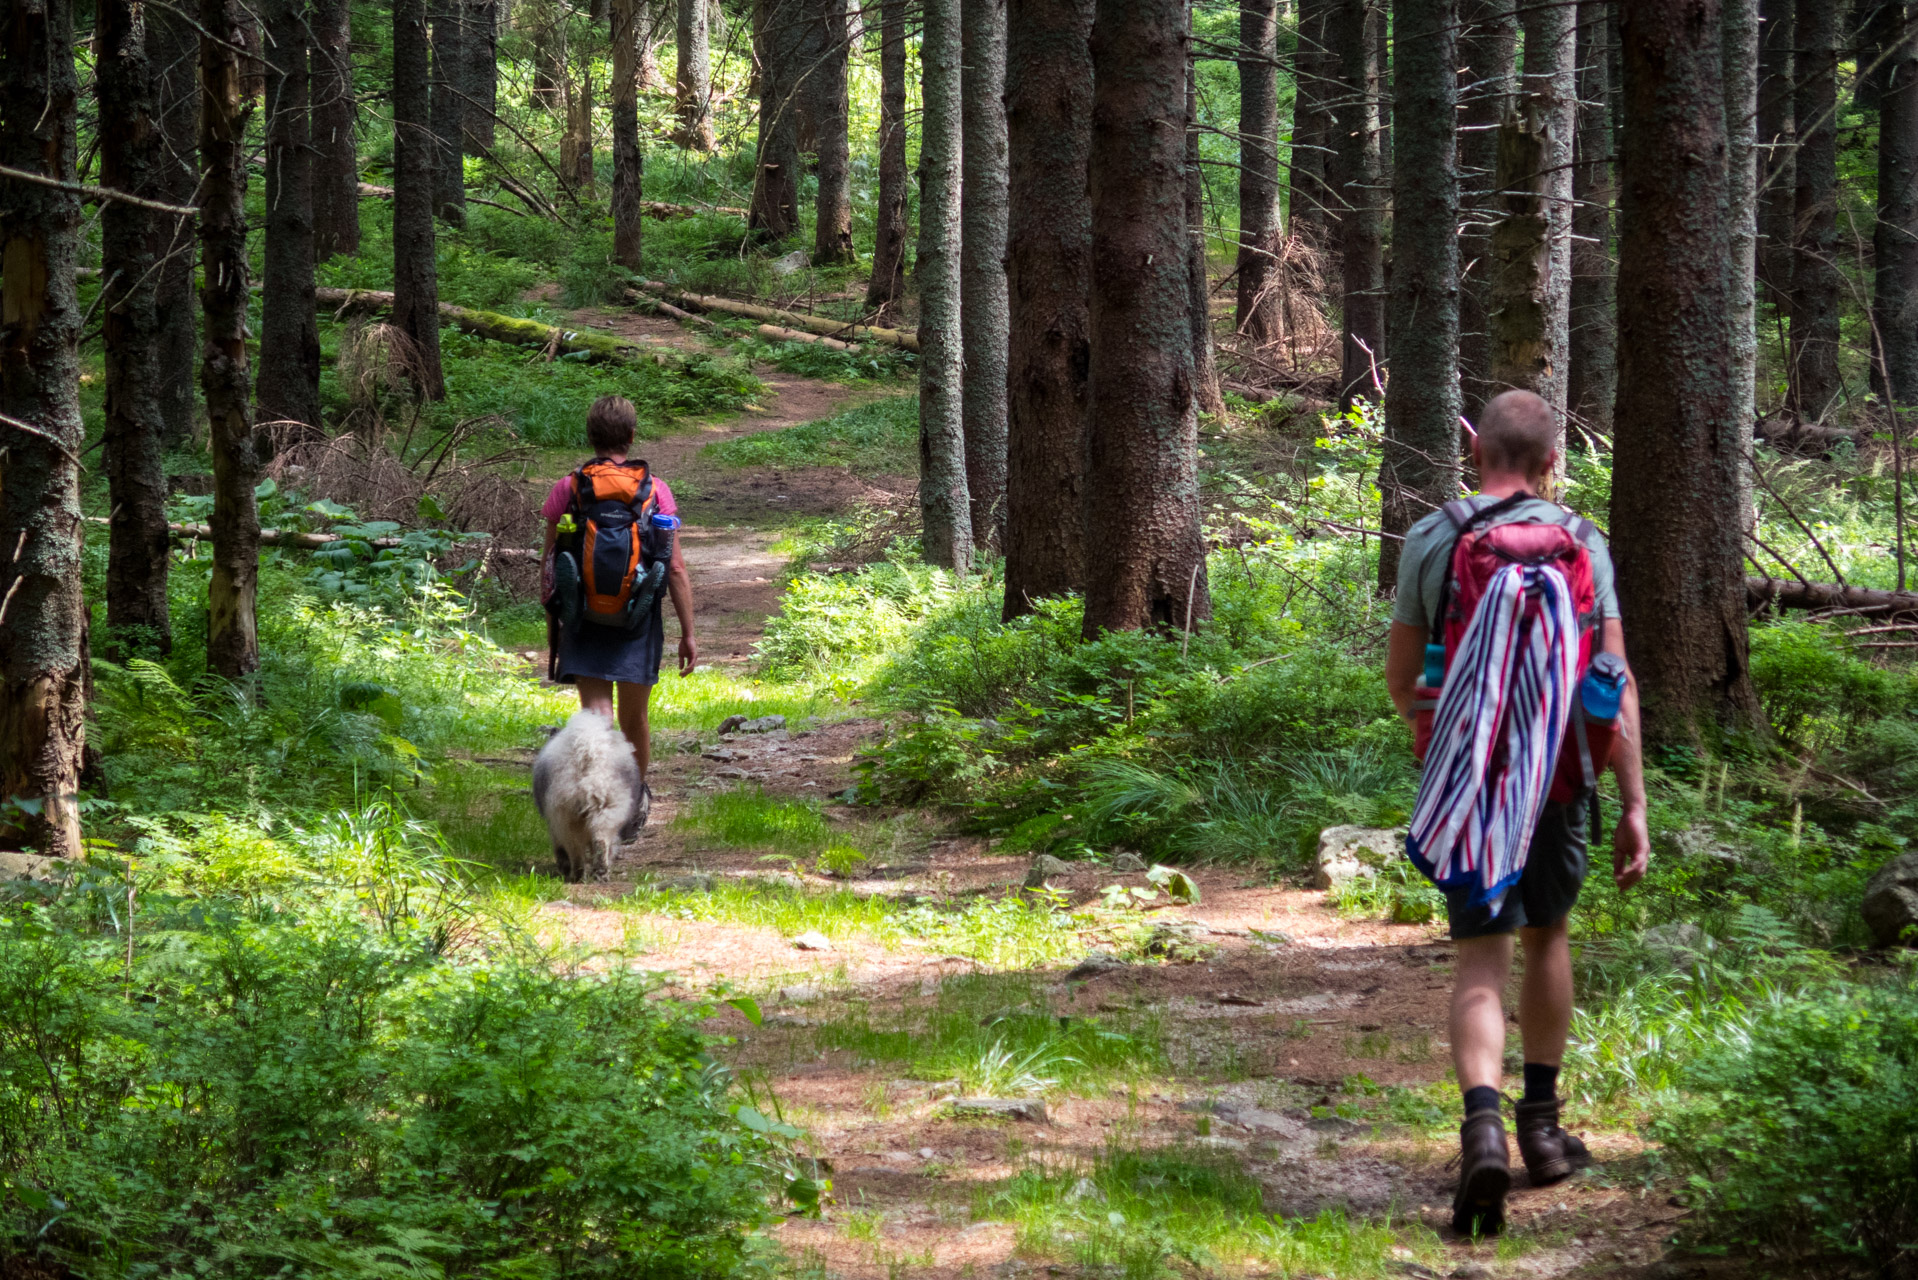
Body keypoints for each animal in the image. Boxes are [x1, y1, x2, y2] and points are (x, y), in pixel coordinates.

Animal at [533, 710, 644, 882]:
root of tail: (589, 750)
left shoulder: (554, 825)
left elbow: (559, 848)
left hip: (567, 815)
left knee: (575, 850)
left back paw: (577, 875)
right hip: (607, 809)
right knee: (600, 841)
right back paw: (601, 873)